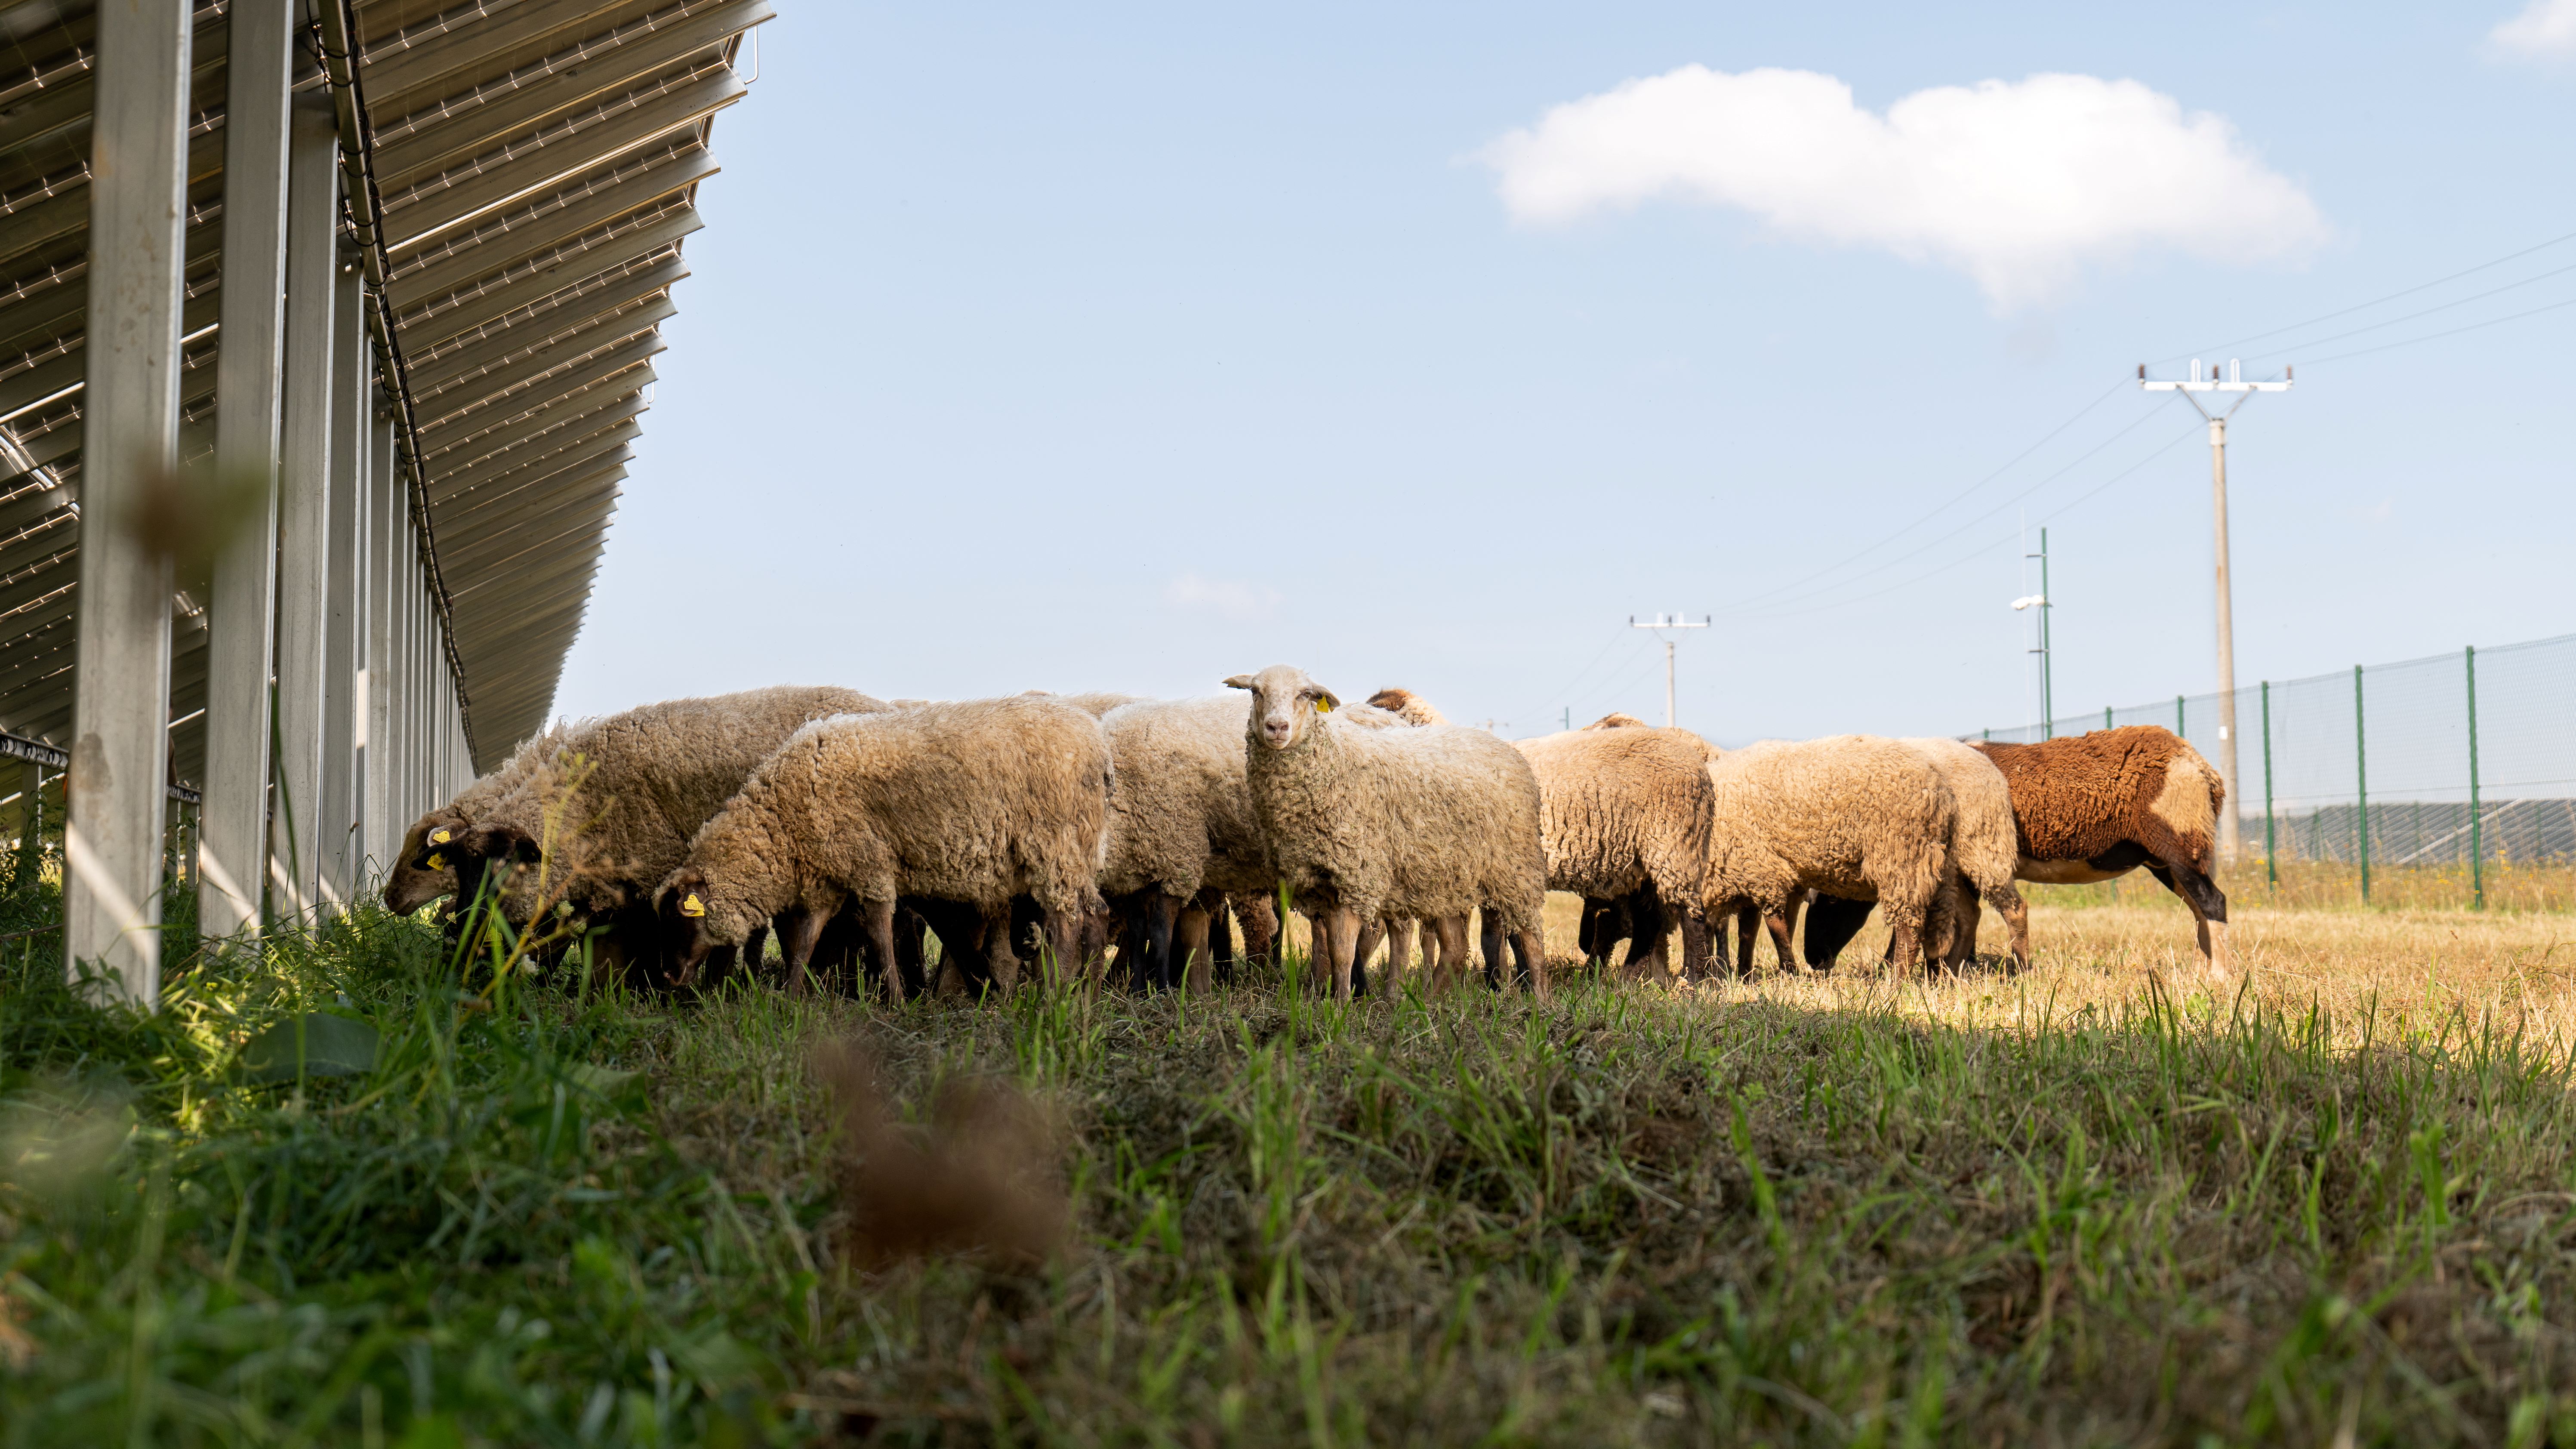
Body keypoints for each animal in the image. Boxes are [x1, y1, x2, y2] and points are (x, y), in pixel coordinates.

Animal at [1226, 665, 1545, 990]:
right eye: (1255, 692)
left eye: (1305, 694)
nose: (1277, 727)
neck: (1333, 762)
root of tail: (1504, 747)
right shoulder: (1321, 885)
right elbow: (1331, 949)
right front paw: (1332, 994)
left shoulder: (1355, 876)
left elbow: (1343, 953)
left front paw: (1342, 1000)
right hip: (1445, 877)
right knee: (1456, 946)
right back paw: (1429, 998)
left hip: (1515, 869)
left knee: (1531, 938)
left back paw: (1540, 997)